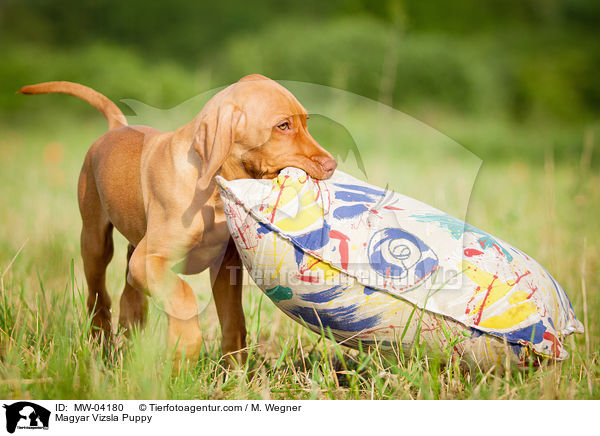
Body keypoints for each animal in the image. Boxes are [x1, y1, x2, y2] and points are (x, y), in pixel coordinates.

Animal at [19, 74, 338, 364]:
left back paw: (132, 327)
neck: (210, 190)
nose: (332, 164)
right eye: (282, 126)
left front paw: (235, 371)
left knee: (129, 281)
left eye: (306, 123)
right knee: (98, 294)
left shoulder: (225, 264)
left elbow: (233, 319)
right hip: (95, 240)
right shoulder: (153, 260)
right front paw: (184, 348)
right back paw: (102, 345)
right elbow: (183, 295)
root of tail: (117, 127)